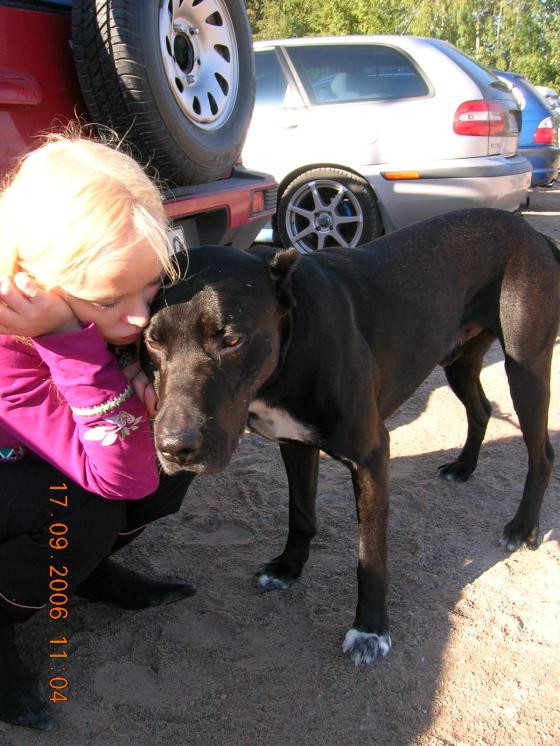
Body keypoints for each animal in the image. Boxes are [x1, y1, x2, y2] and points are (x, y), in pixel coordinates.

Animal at [144, 208, 560, 664]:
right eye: (150, 340)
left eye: (231, 338)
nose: (173, 448)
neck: (294, 341)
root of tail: (531, 232)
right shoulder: (295, 445)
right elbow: (300, 515)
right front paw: (288, 568)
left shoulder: (372, 457)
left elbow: (370, 556)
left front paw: (370, 629)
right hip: (459, 360)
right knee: (482, 410)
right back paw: (463, 466)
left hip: (525, 367)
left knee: (541, 453)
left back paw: (522, 528)